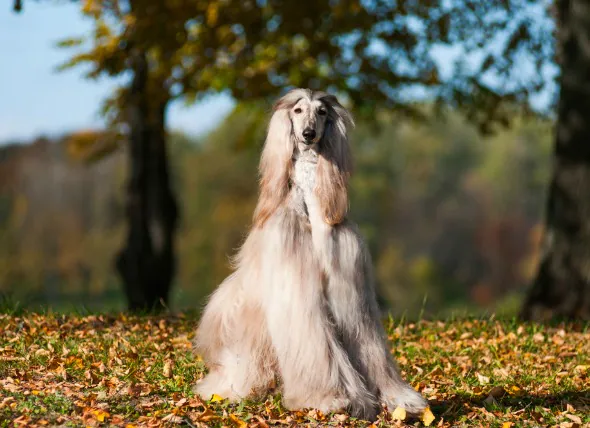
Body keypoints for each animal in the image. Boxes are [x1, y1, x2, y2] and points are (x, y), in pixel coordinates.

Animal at [194, 88, 430, 420]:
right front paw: (328, 398)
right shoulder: (295, 286)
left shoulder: (349, 287)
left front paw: (398, 399)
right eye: (297, 110)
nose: (308, 134)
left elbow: (367, 345)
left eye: (321, 112)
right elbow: (313, 341)